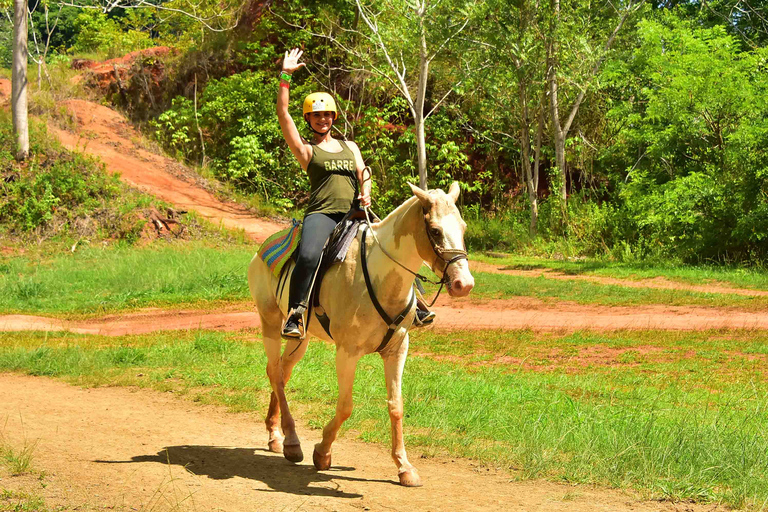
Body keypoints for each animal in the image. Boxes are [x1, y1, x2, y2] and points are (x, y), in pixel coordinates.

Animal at [247, 182, 475, 487]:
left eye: (463, 227)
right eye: (436, 230)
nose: (464, 284)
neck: (381, 278)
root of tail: (263, 248)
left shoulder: (397, 350)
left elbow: (396, 406)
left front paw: (404, 466)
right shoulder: (347, 353)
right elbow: (345, 406)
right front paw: (322, 453)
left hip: (300, 339)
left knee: (282, 372)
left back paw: (276, 435)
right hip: (270, 321)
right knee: (274, 371)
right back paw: (292, 442)